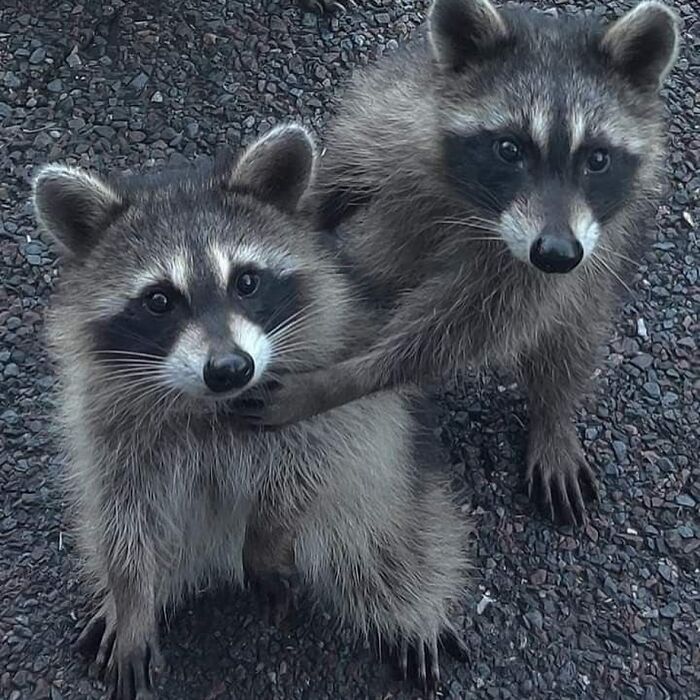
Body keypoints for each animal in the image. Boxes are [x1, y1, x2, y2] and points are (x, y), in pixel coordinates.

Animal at [33, 125, 470, 700]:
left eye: (246, 281)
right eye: (159, 301)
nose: (229, 369)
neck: (210, 402)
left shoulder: (318, 391)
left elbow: (308, 471)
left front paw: (267, 537)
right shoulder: (106, 421)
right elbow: (122, 516)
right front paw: (130, 598)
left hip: (394, 481)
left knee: (389, 546)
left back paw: (410, 605)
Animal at [234, 0, 681, 526]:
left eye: (597, 159)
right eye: (509, 148)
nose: (556, 253)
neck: (479, 207)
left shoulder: (556, 265)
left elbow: (463, 328)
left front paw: (343, 380)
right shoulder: (388, 120)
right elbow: (339, 177)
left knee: (573, 336)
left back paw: (553, 413)